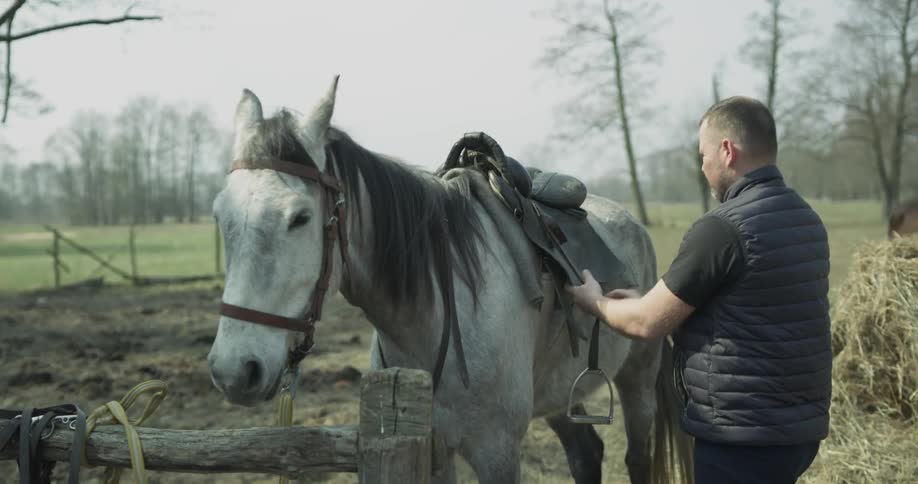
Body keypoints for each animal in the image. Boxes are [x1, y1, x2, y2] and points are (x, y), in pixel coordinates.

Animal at [206, 77, 693, 484]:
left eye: (300, 217)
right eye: (219, 214)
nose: (234, 370)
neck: (435, 311)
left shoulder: (496, 451)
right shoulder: (434, 448)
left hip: (637, 379)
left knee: (636, 458)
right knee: (585, 454)